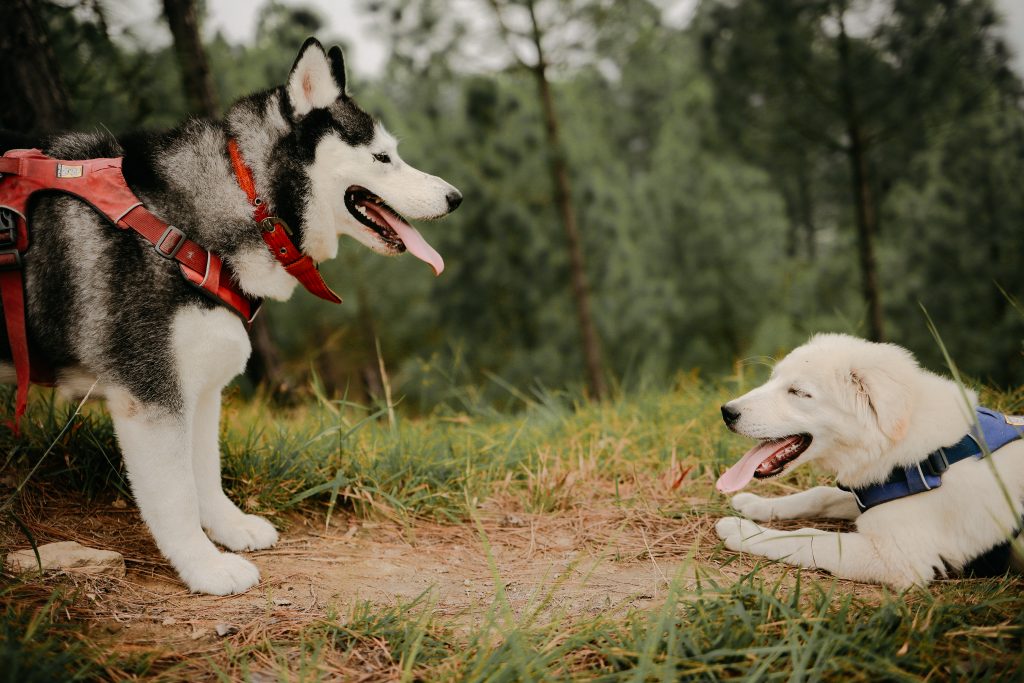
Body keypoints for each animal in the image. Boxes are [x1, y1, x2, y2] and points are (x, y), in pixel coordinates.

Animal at [0, 38, 462, 593]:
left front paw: (229, 528)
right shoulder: (151, 395)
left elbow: (204, 472)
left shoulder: (199, 387)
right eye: (381, 157)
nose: (456, 197)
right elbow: (176, 493)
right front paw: (205, 567)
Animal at [712, 333, 1024, 589]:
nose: (726, 412)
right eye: (773, 379)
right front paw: (757, 504)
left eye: (798, 392)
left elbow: (807, 536)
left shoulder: (897, 558)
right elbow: (820, 494)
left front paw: (742, 531)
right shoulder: (872, 492)